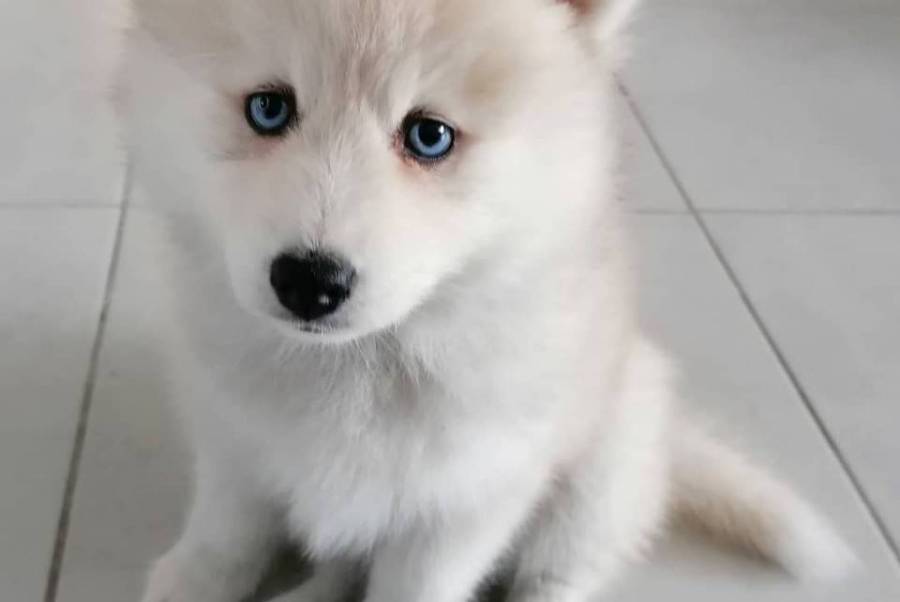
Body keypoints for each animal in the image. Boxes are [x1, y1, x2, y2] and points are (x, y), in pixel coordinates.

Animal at [120, 1, 854, 600]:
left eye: (430, 136)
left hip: (602, 469)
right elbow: (226, 533)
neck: (365, 360)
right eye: (268, 109)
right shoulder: (234, 439)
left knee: (562, 574)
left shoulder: (468, 500)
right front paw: (190, 581)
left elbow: (415, 587)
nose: (309, 282)